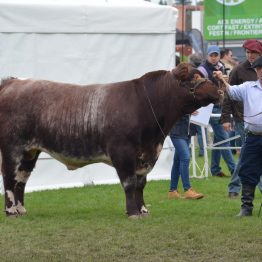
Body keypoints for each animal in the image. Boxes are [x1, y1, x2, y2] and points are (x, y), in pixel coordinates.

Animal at [0, 63, 223, 217]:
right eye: (195, 76)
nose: (219, 91)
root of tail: (14, 82)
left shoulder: (145, 155)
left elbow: (141, 184)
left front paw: (143, 210)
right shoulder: (122, 152)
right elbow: (129, 183)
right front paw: (132, 212)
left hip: (30, 152)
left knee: (21, 179)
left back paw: (21, 209)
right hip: (12, 148)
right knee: (9, 178)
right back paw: (11, 211)